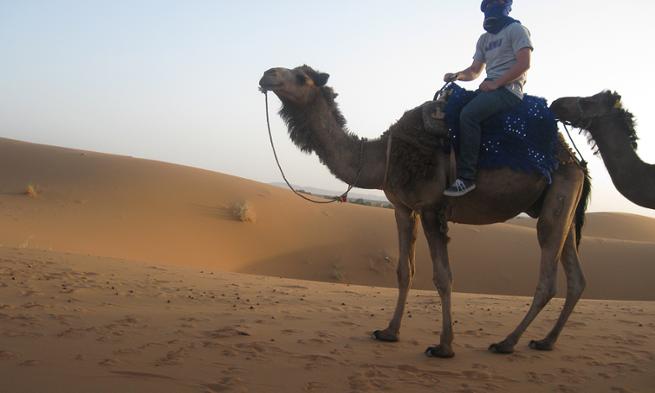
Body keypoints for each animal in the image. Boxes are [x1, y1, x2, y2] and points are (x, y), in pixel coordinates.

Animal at [258, 65, 592, 358]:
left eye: (301, 78)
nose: (267, 74)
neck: (382, 155)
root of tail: (576, 161)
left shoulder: (432, 208)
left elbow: (443, 277)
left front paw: (444, 346)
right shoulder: (403, 208)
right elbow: (404, 271)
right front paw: (389, 332)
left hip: (557, 194)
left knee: (548, 278)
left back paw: (506, 342)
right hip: (559, 204)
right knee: (576, 277)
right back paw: (546, 341)